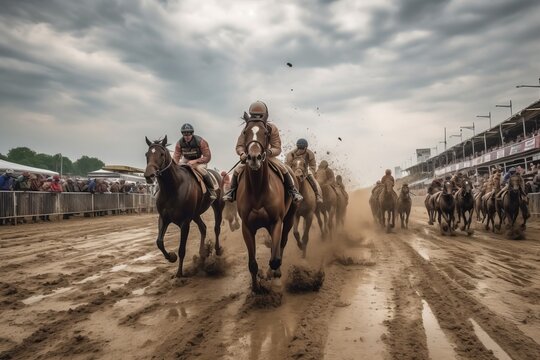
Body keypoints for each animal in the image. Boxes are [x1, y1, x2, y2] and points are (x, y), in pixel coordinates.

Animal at [143, 136, 224, 278]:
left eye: (162, 154)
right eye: (147, 154)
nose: (149, 175)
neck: (172, 189)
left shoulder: (185, 222)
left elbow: (181, 249)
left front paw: (179, 273)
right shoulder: (163, 218)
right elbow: (159, 242)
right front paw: (171, 257)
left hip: (217, 206)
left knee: (216, 228)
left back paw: (217, 249)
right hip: (196, 214)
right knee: (203, 228)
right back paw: (203, 253)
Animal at [235, 115, 298, 292]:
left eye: (266, 132)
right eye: (245, 132)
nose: (253, 157)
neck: (258, 190)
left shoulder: (276, 222)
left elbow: (275, 258)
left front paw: (274, 277)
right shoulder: (247, 227)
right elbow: (252, 263)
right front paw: (256, 288)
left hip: (289, 219)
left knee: (281, 245)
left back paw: (275, 273)